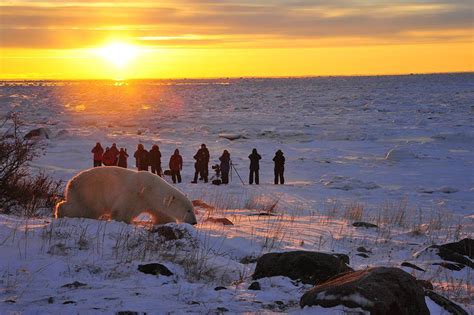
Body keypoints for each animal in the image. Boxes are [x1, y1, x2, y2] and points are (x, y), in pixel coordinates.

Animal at [55, 168, 196, 225]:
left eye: (192, 210)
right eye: (188, 210)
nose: (194, 222)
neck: (152, 190)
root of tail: (71, 182)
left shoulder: (153, 204)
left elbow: (162, 215)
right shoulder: (135, 195)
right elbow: (122, 212)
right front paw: (124, 221)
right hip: (91, 192)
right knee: (85, 209)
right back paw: (60, 212)